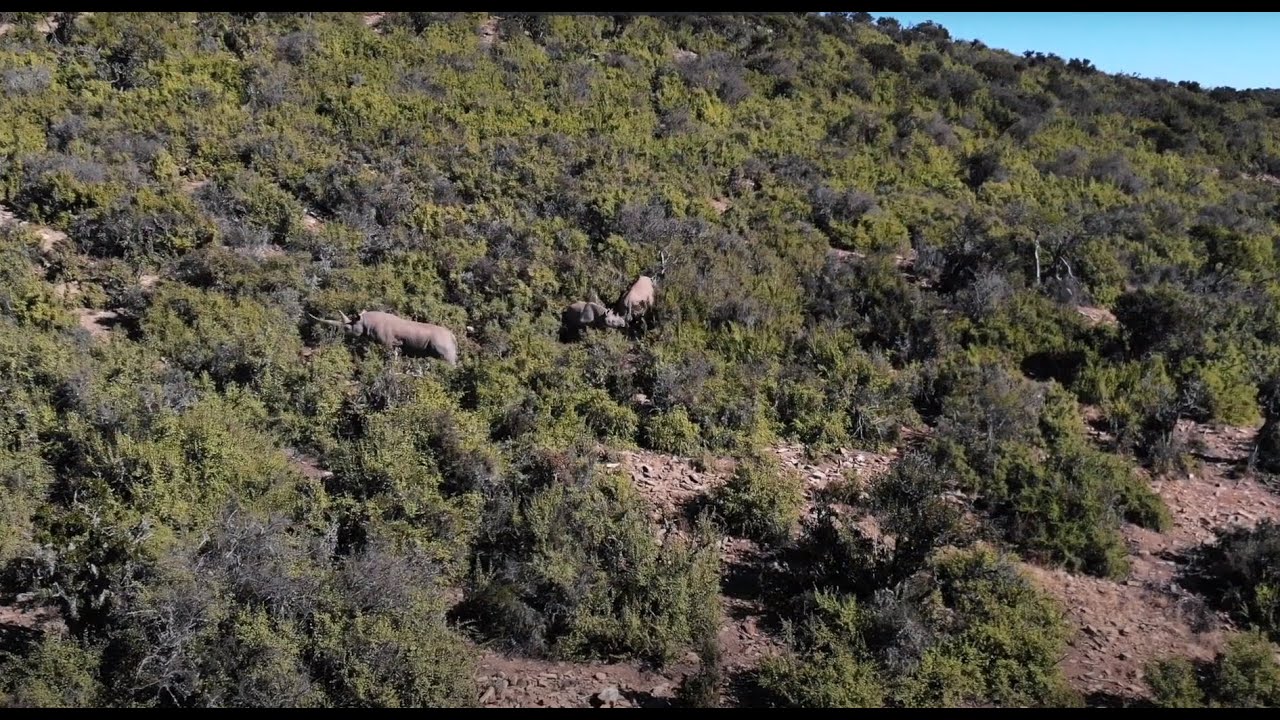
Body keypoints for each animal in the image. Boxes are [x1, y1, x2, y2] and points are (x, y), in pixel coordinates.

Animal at [309, 309, 459, 366]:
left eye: (346, 328)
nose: (340, 333)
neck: (365, 321)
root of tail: (452, 336)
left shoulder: (387, 343)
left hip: (441, 341)